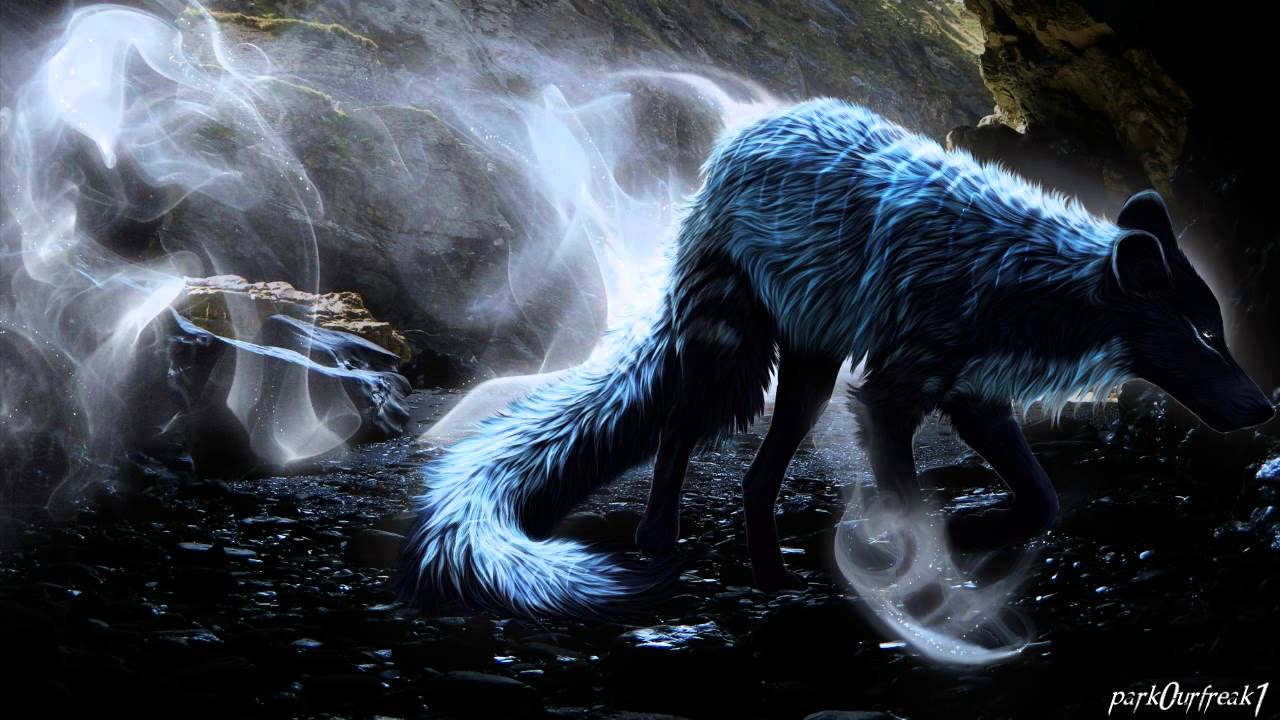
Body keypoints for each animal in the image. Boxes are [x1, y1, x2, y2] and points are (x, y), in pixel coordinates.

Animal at [402, 99, 1273, 618]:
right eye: (1202, 336)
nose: (1265, 408)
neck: (1018, 274)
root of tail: (728, 152)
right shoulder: (890, 397)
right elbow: (914, 506)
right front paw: (931, 574)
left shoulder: (972, 399)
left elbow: (1043, 499)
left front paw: (979, 528)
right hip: (735, 362)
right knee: (677, 436)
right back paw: (658, 543)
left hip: (811, 377)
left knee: (756, 477)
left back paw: (777, 572)